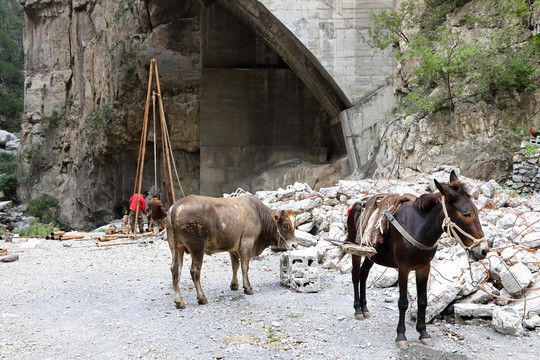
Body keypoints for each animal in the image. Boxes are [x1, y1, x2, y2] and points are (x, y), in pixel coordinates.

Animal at [167, 194, 298, 310]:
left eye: (295, 225)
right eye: (285, 225)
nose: (294, 245)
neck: (259, 215)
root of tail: (176, 206)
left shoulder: (233, 247)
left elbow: (235, 265)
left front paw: (234, 285)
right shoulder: (246, 244)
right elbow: (244, 266)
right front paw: (248, 288)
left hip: (177, 247)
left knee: (175, 270)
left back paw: (179, 302)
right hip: (197, 248)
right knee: (195, 271)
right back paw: (202, 298)